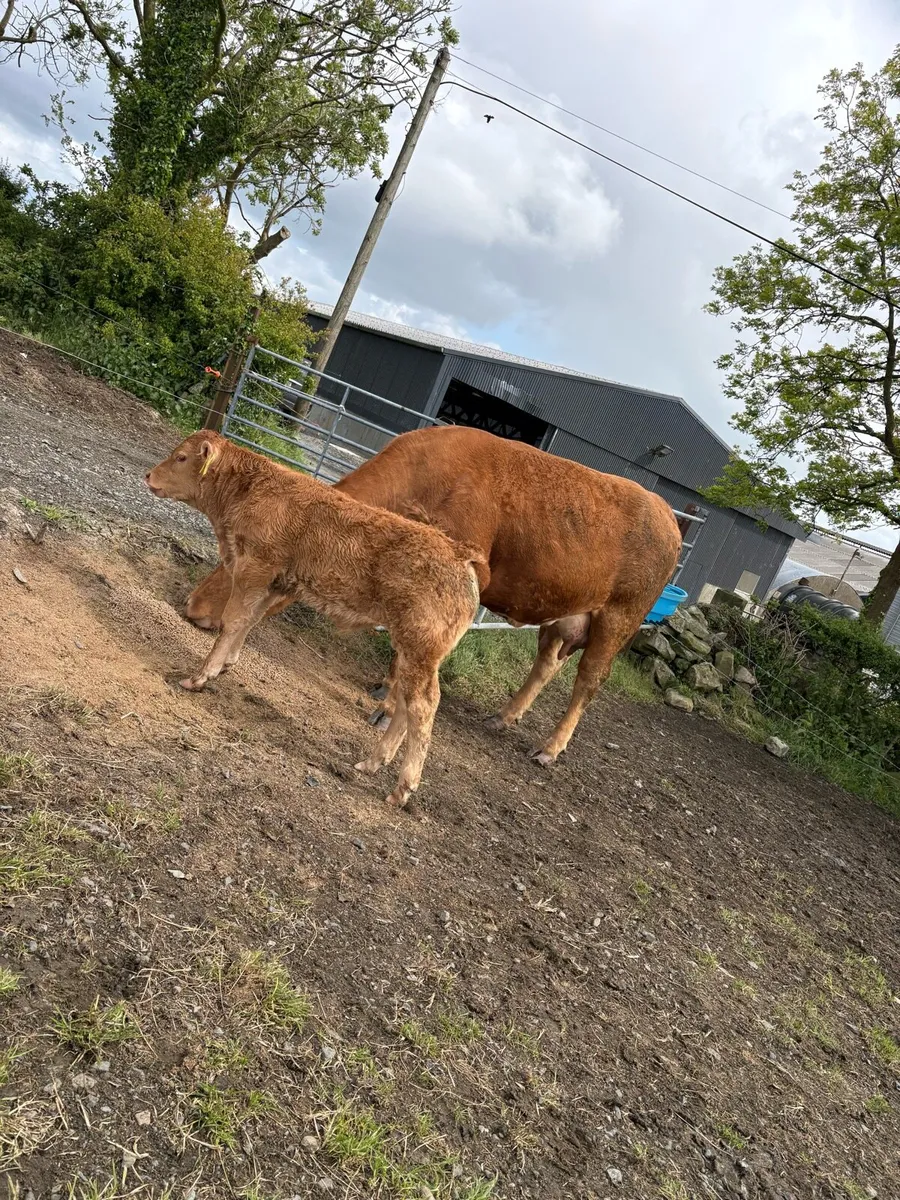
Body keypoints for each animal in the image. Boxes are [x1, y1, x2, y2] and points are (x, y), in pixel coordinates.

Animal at [145, 430, 486, 808]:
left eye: (181, 457)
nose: (148, 475)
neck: (252, 488)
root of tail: (459, 553)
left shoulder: (254, 570)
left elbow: (233, 620)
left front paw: (200, 676)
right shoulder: (275, 582)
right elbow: (249, 621)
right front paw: (227, 664)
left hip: (420, 651)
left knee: (423, 706)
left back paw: (402, 788)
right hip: (412, 652)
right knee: (406, 704)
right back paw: (371, 763)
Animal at [184, 425, 682, 765]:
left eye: (238, 561)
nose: (194, 609)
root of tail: (669, 518)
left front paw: (387, 707)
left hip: (618, 619)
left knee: (588, 682)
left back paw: (549, 748)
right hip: (562, 618)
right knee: (545, 666)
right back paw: (502, 717)